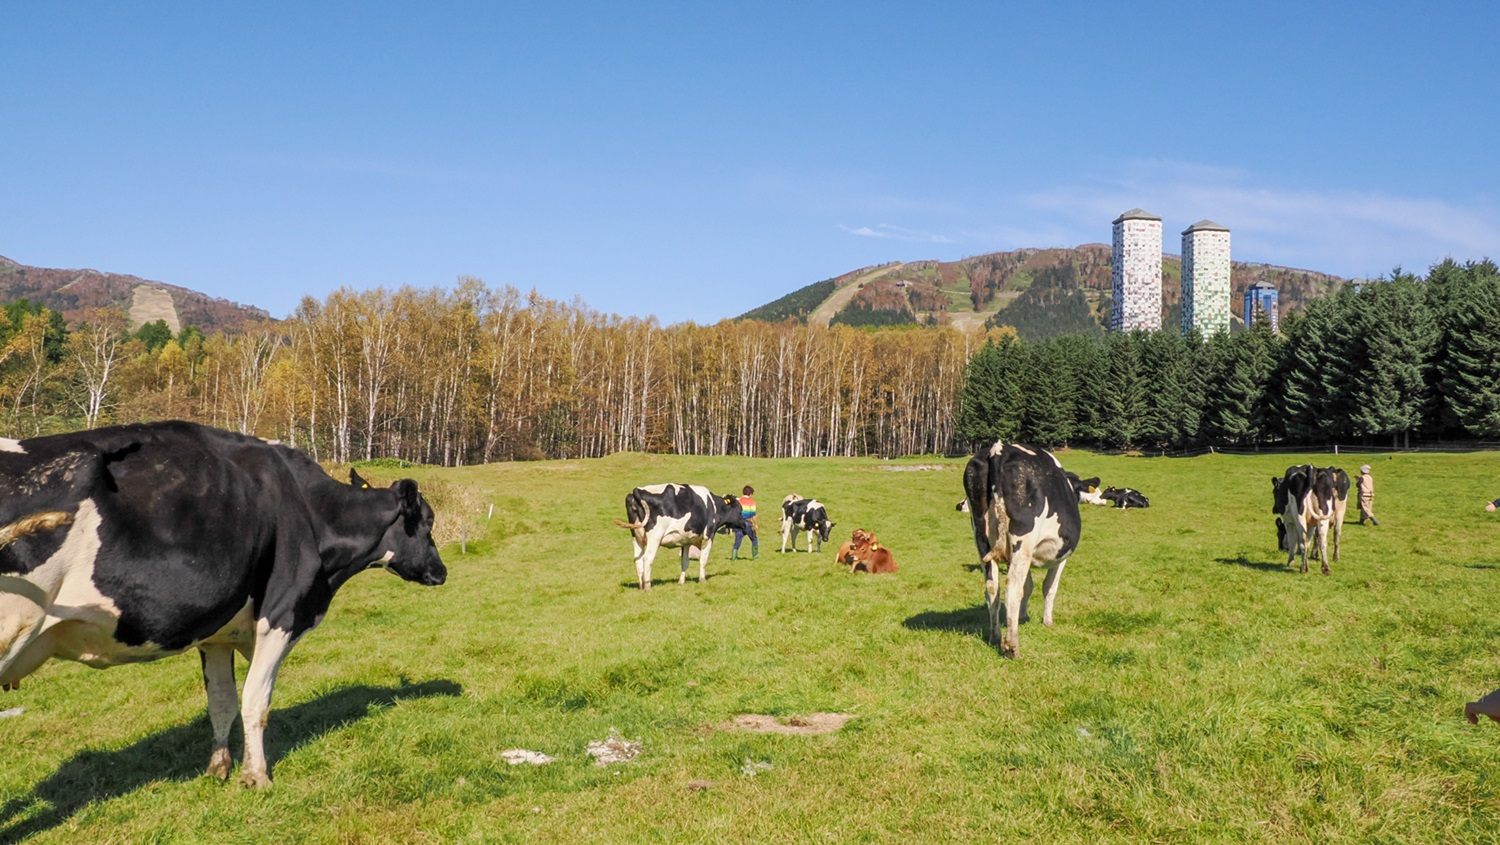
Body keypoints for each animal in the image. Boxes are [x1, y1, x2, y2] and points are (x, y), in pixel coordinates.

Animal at [0, 420, 444, 786]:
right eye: (428, 521)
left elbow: (222, 703)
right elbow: (255, 701)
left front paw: (219, 768)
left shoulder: (217, 634)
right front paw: (257, 775)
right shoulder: (281, 615)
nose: (441, 572)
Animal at [615, 486, 744, 591]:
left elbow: (685, 561)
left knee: (638, 560)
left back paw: (641, 586)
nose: (744, 524)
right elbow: (703, 560)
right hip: (655, 537)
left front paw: (681, 582)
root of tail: (637, 490)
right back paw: (647, 587)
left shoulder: (686, 541)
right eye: (740, 510)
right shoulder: (708, 536)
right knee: (647, 558)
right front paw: (702, 580)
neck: (713, 505)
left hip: (637, 537)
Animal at [966, 444, 1086, 660]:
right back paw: (1012, 646)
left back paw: (995, 637)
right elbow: (1049, 587)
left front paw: (1023, 616)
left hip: (981, 538)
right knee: (1012, 587)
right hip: (1022, 541)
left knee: (992, 587)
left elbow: (1028, 586)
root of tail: (999, 449)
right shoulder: (1060, 558)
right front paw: (1047, 621)